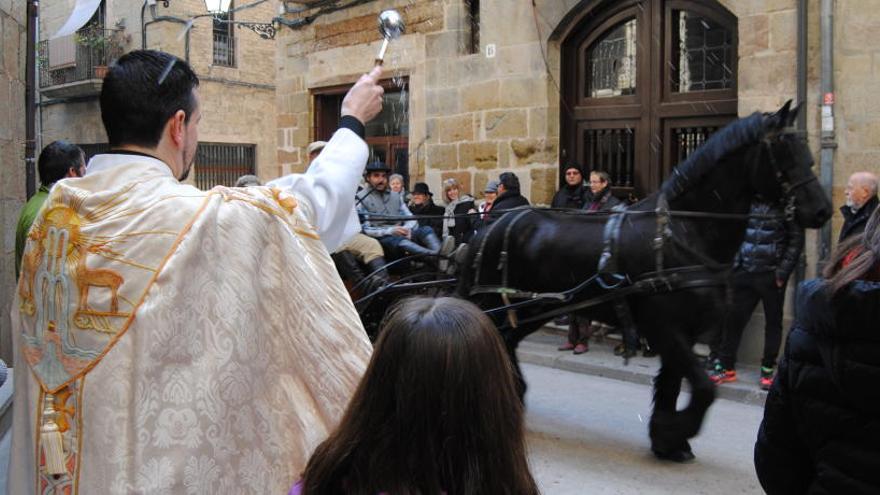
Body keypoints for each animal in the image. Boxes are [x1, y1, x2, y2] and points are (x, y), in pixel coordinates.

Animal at [458, 101, 836, 464]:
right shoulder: (666, 328)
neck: (683, 232)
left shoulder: (682, 331)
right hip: (499, 304)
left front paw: (667, 441)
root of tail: (488, 230)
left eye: (807, 151)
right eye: (785, 152)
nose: (823, 211)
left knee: (505, 341)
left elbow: (672, 385)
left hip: (533, 307)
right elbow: (703, 389)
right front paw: (676, 431)